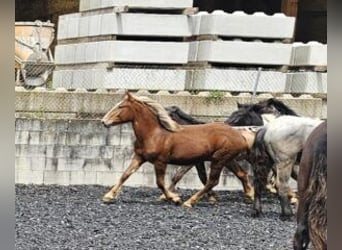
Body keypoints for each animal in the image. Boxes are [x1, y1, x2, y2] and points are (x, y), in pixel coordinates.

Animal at [100, 92, 255, 207]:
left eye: (121, 106)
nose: (104, 121)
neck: (154, 134)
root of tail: (240, 134)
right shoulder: (139, 157)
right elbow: (125, 175)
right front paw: (108, 196)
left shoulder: (161, 161)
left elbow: (160, 183)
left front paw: (174, 198)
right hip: (227, 159)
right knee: (241, 174)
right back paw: (250, 195)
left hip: (219, 159)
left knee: (213, 181)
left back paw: (189, 202)